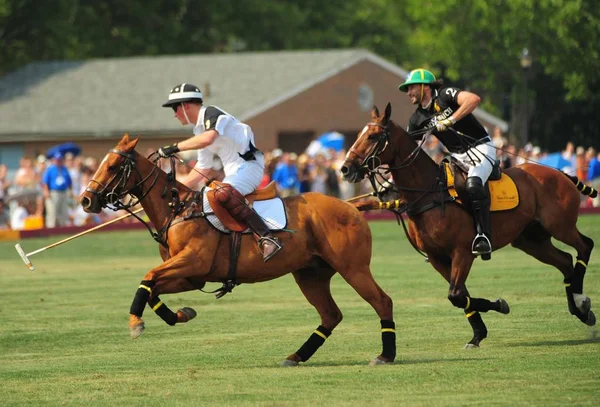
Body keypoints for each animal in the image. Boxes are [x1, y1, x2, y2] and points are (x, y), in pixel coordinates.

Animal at [81, 135, 398, 368]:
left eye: (112, 167)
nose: (85, 200)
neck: (177, 209)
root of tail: (350, 205)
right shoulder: (191, 276)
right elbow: (152, 289)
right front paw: (182, 314)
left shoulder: (192, 262)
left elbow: (147, 278)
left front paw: (135, 323)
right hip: (310, 274)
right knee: (331, 315)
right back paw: (296, 356)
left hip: (353, 267)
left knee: (382, 301)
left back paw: (385, 355)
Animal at [340, 103, 596, 350]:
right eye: (360, 133)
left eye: (373, 136)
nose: (345, 169)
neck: (430, 191)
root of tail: (561, 173)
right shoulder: (437, 257)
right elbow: (460, 294)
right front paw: (478, 334)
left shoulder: (462, 252)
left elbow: (455, 294)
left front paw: (499, 306)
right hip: (531, 240)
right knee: (565, 261)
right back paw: (580, 310)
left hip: (560, 225)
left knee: (585, 245)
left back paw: (581, 301)